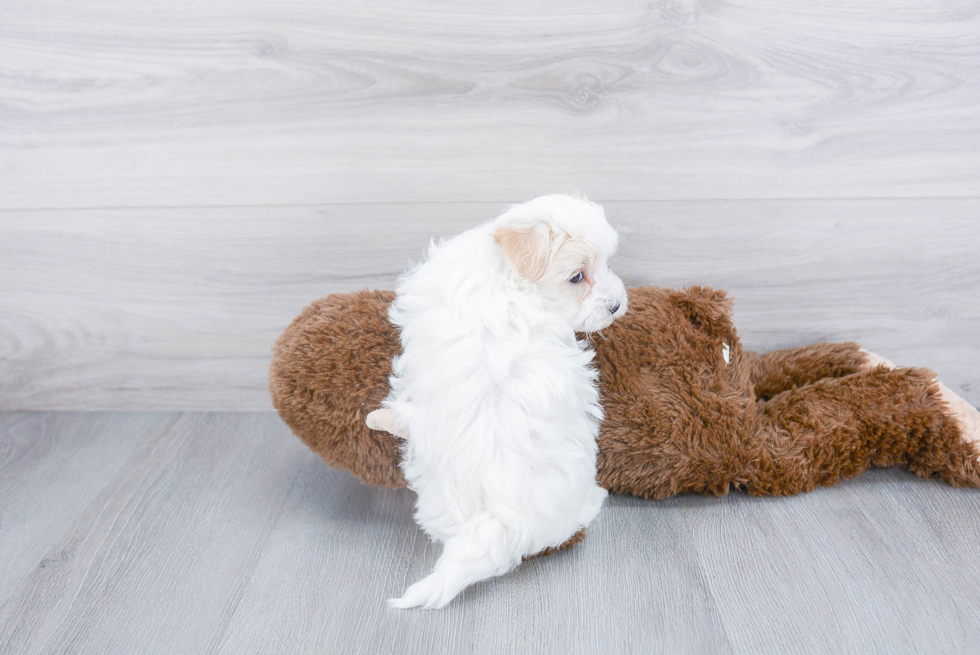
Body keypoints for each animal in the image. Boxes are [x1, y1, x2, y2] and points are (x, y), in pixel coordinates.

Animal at [368, 193, 628, 608]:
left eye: (606, 262)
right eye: (577, 277)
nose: (617, 304)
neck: (507, 274)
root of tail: (501, 521)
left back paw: (381, 418)